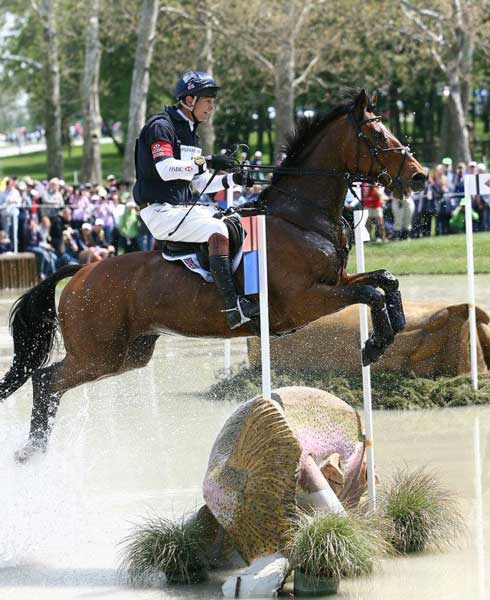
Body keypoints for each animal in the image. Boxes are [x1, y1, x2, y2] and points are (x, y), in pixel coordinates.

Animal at [0, 91, 424, 462]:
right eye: (377, 135)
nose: (419, 177)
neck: (301, 218)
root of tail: (82, 269)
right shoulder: (307, 300)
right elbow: (371, 293)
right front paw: (374, 345)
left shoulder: (336, 282)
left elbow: (385, 280)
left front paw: (391, 332)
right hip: (97, 354)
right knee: (46, 381)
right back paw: (31, 452)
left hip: (127, 355)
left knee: (51, 382)